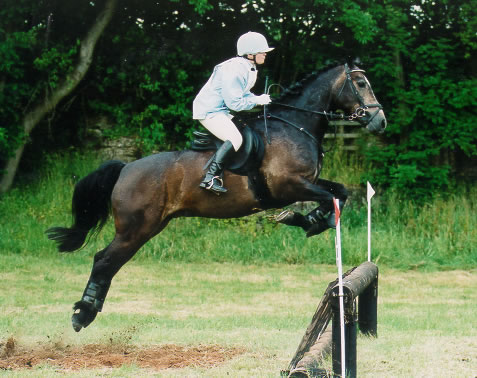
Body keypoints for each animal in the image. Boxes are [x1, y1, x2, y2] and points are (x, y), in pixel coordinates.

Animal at [45, 60, 386, 332]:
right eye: (360, 83)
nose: (379, 122)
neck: (295, 126)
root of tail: (125, 167)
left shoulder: (306, 183)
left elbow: (339, 193)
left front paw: (310, 220)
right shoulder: (287, 186)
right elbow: (330, 197)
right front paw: (306, 219)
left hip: (150, 227)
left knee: (109, 263)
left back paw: (87, 311)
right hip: (135, 229)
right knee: (103, 260)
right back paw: (82, 314)